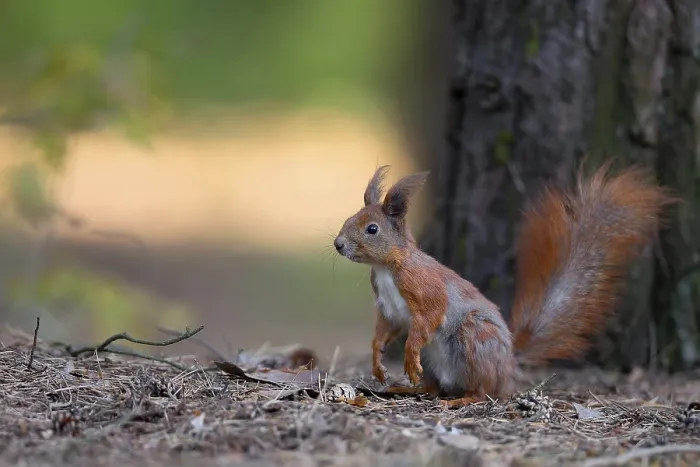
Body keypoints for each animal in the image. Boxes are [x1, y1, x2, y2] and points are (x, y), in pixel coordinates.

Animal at [333, 163, 674, 409]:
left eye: (372, 229)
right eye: (349, 219)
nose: (338, 245)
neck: (386, 268)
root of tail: (508, 363)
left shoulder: (425, 288)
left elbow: (427, 319)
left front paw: (408, 353)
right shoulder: (388, 309)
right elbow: (384, 331)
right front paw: (378, 362)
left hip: (474, 338)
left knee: (484, 392)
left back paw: (460, 400)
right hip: (438, 361)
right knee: (435, 389)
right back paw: (407, 389)